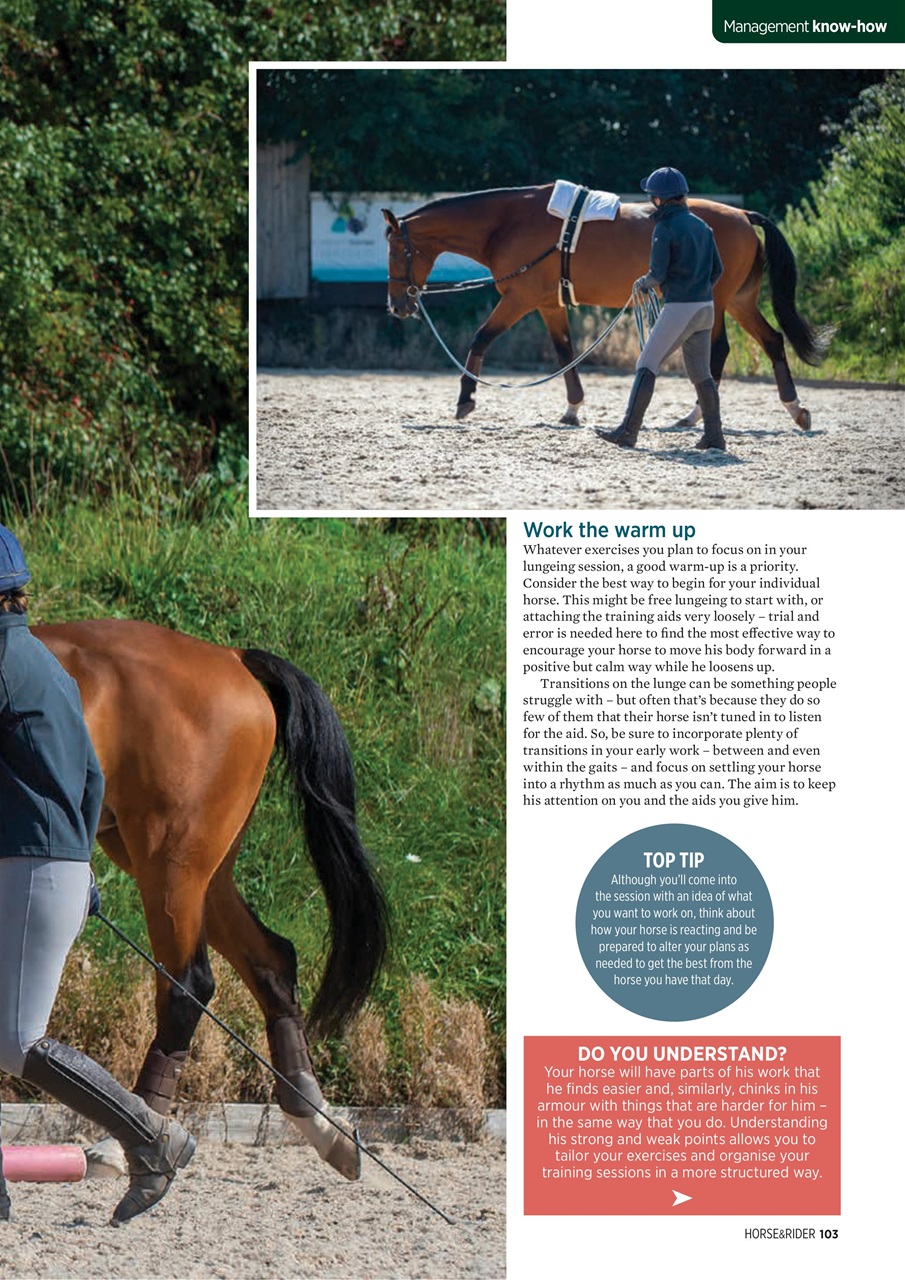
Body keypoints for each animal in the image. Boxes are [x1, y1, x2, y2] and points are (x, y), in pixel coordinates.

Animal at [35, 618, 389, 1181]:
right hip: (203, 870)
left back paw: (132, 1140)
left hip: (169, 861)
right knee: (271, 960)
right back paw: (322, 1124)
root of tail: (231, 657)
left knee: (187, 987)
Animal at [382, 184, 831, 431]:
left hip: (715, 301)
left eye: (395, 251)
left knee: (719, 351)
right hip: (738, 302)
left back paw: (705, 417)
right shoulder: (547, 304)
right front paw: (572, 408)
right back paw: (788, 410)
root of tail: (741, 213)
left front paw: (465, 401)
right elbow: (564, 353)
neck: (508, 223)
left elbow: (480, 338)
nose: (397, 306)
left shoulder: (518, 299)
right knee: (772, 341)